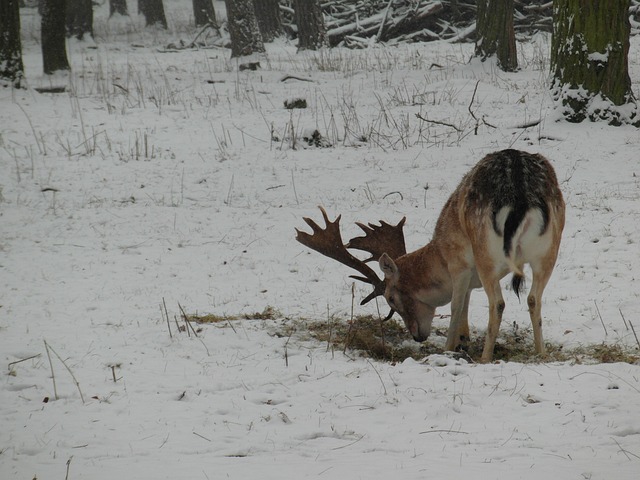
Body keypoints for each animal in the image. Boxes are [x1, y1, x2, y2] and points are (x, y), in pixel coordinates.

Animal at [296, 148, 564, 362]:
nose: (417, 336)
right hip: (549, 249)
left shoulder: (459, 264)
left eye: (390, 298)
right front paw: (463, 342)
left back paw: (485, 358)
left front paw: (449, 348)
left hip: (486, 253)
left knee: (498, 303)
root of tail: (521, 197)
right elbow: (465, 305)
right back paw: (541, 354)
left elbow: (456, 306)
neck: (440, 255)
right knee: (533, 298)